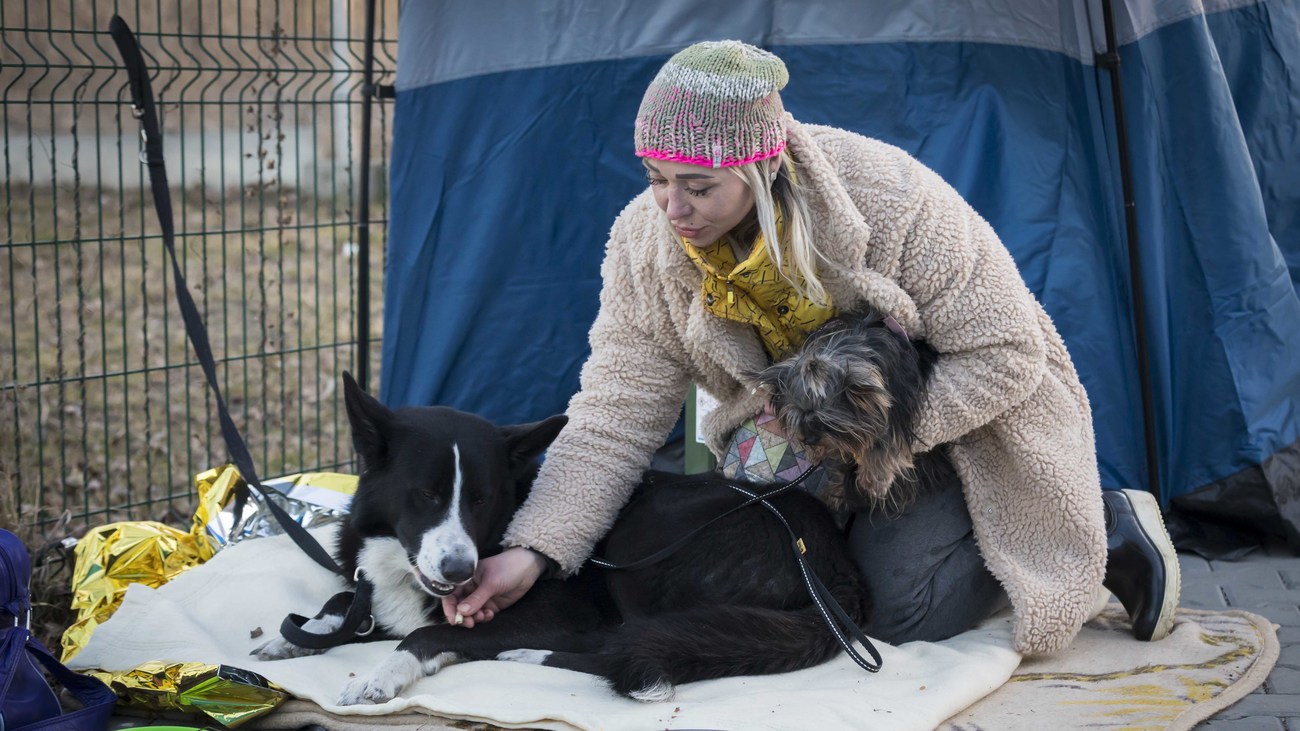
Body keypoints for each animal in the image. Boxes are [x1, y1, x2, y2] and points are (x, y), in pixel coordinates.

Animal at [250, 309, 925, 702]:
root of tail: (833, 572)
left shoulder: (553, 609)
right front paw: (301, 636)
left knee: (627, 647)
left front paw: (381, 674)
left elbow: (420, 634)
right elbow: (344, 605)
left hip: (648, 556)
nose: (460, 571)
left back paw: (529, 653)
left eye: (483, 499)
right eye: (427, 494)